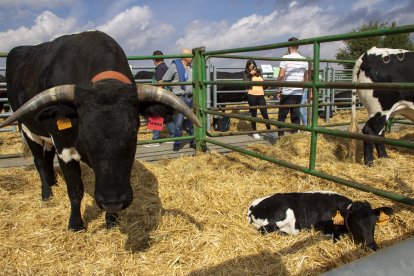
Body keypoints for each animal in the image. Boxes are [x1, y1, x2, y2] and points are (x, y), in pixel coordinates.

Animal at [0, 30, 201, 231]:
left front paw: (111, 220)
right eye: (84, 134)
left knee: (47, 156)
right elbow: (75, 189)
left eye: (134, 132)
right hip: (27, 128)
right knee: (40, 161)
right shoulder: (64, 147)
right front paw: (76, 224)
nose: (113, 202)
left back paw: (53, 182)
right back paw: (47, 193)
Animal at [247, 191, 392, 251]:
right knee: (264, 230)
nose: (371, 246)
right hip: (285, 213)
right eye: (356, 224)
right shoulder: (327, 229)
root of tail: (253, 207)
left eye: (374, 223)